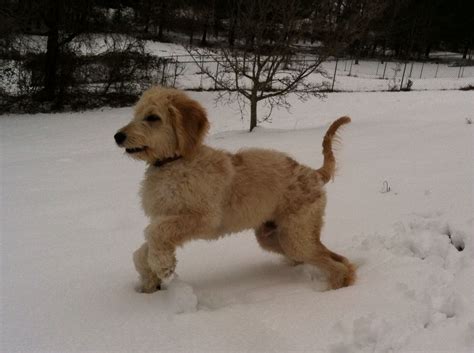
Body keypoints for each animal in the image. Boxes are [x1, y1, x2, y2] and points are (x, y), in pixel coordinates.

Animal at [115, 85, 356, 292]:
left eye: (153, 117)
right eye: (136, 114)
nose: (117, 136)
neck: (175, 161)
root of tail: (314, 173)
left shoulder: (203, 218)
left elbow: (154, 232)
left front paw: (162, 265)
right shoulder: (167, 216)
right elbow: (142, 249)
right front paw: (150, 278)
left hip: (295, 235)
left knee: (337, 264)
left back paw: (335, 290)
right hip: (274, 236)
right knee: (336, 257)